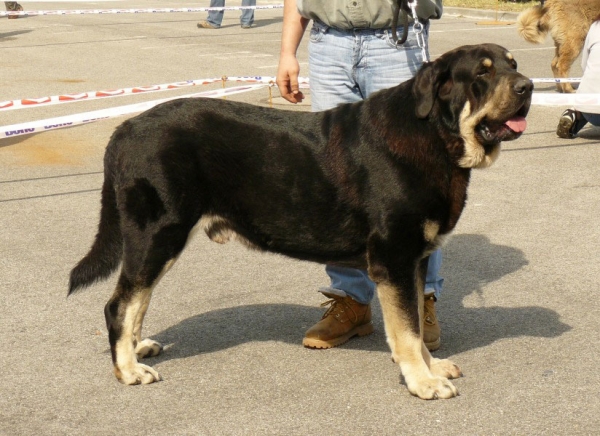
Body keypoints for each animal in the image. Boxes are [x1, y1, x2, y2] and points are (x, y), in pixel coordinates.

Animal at [68, 43, 532, 398]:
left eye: (513, 63)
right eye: (483, 73)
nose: (527, 86)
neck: (433, 134)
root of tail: (124, 129)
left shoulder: (415, 260)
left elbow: (417, 321)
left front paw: (431, 367)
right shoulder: (394, 258)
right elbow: (406, 332)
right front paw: (423, 382)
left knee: (136, 301)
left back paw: (136, 350)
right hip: (157, 235)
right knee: (119, 304)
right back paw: (128, 370)